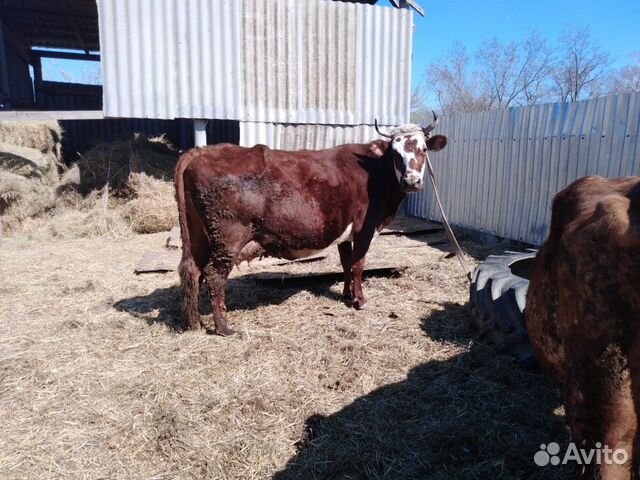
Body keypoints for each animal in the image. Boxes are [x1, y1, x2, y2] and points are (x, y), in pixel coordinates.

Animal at [172, 115, 448, 334]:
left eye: (423, 149)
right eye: (396, 153)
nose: (411, 181)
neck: (375, 171)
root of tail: (202, 150)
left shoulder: (344, 231)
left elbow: (346, 263)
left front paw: (346, 294)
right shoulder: (364, 228)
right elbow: (358, 264)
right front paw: (359, 300)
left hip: (199, 236)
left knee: (192, 270)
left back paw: (195, 323)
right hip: (228, 237)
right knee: (214, 274)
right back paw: (223, 327)